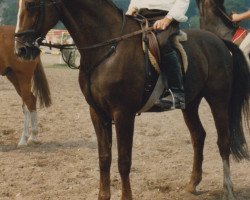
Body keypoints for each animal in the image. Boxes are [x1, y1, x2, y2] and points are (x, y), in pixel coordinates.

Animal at [14, 0, 250, 199]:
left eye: (32, 5)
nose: (21, 50)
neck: (107, 48)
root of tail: (219, 41)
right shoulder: (97, 113)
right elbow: (104, 158)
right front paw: (103, 196)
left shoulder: (123, 114)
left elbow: (123, 161)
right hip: (190, 104)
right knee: (198, 136)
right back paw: (192, 184)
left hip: (218, 100)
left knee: (223, 142)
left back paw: (228, 190)